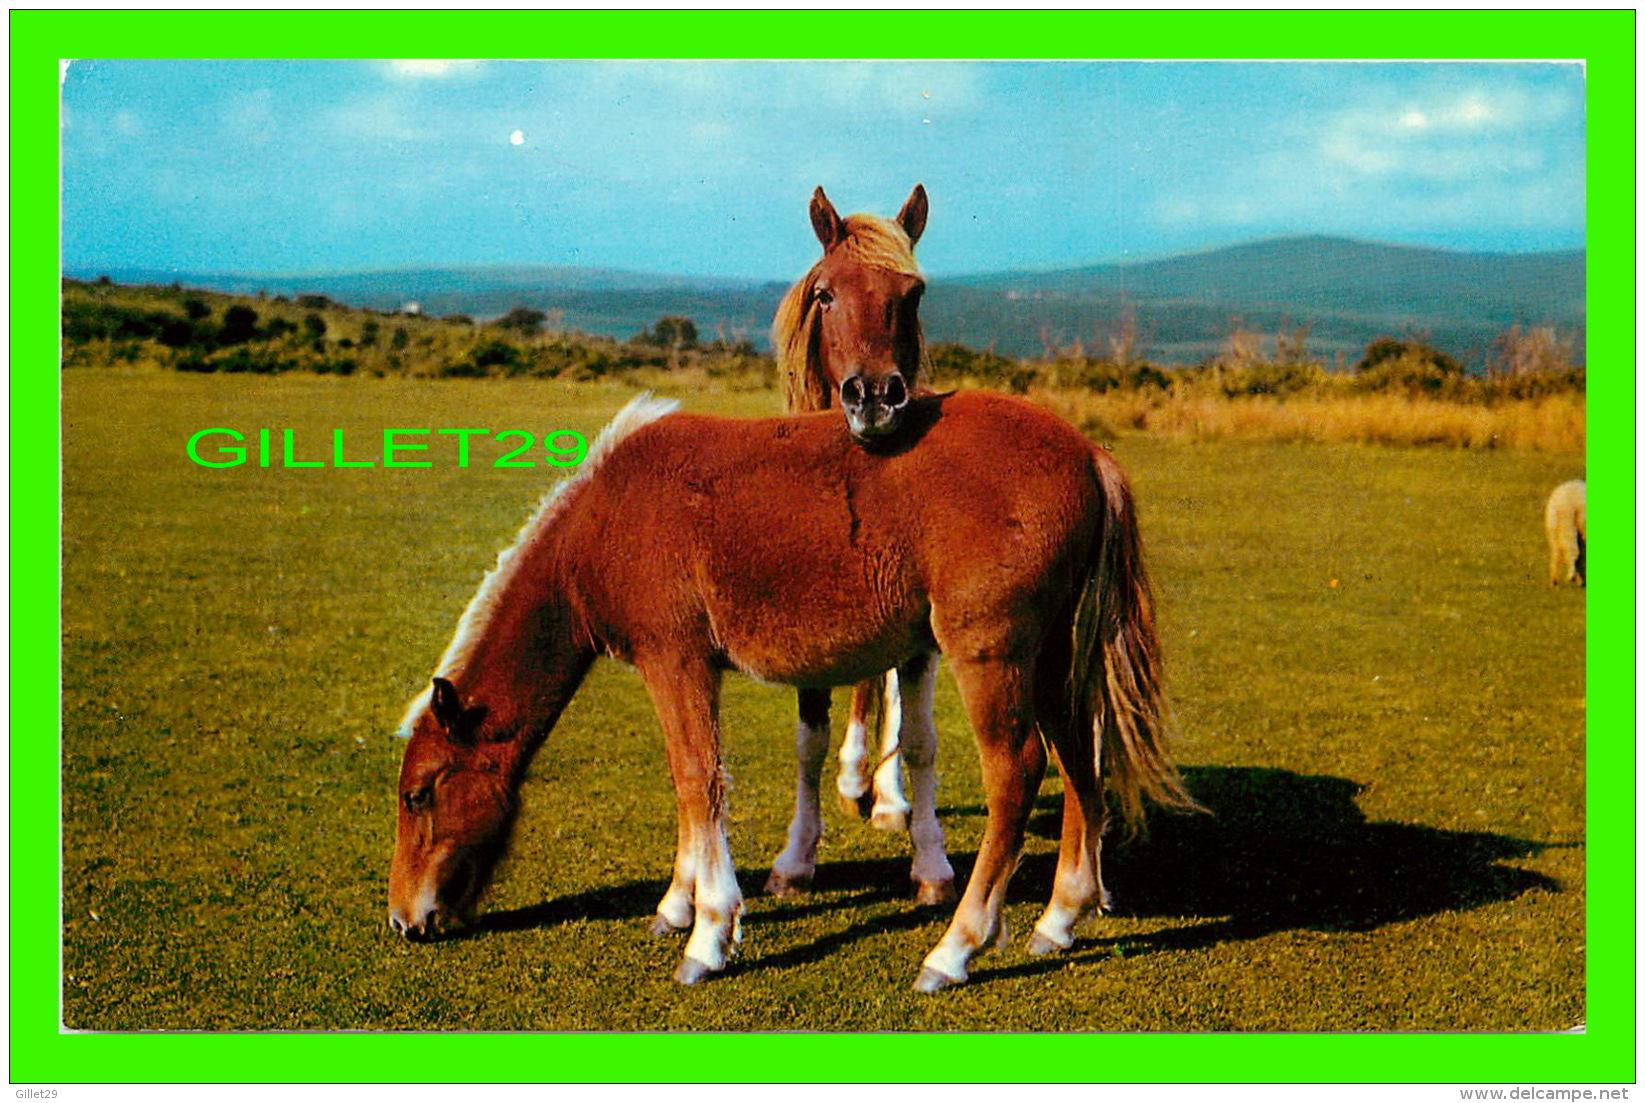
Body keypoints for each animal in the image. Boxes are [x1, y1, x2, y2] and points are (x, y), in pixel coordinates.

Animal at [391, 391, 1204, 992]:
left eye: (420, 794)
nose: (404, 919)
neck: (605, 519)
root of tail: (1088, 455)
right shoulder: (685, 669)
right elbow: (691, 786)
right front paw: (677, 904)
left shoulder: (674, 660)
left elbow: (698, 780)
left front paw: (708, 933)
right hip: (1051, 654)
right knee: (1079, 759)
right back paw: (1060, 918)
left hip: (991, 652)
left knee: (1018, 772)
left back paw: (954, 950)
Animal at [766, 185, 954, 900]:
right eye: (825, 294)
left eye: (914, 292)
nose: (874, 396)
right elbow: (807, 739)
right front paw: (795, 859)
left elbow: (903, 719)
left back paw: (884, 794)